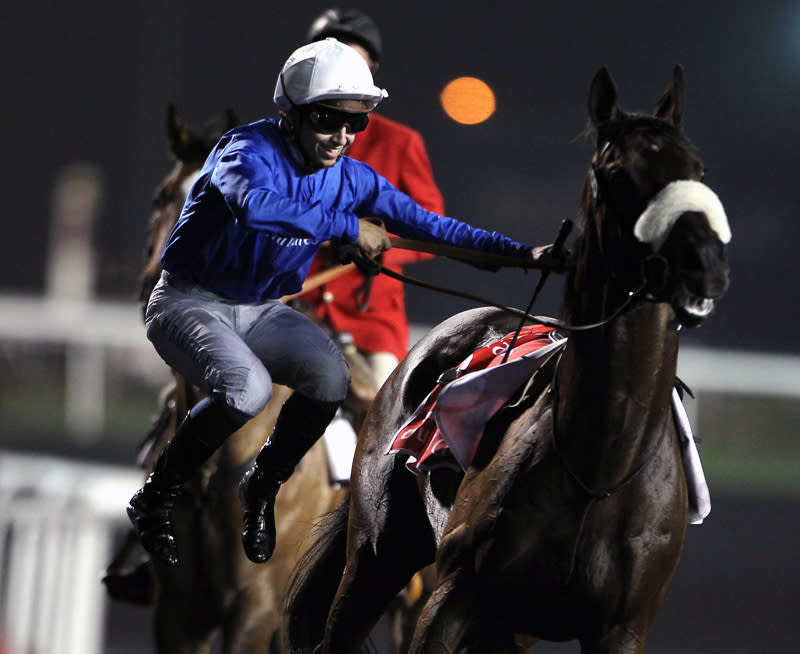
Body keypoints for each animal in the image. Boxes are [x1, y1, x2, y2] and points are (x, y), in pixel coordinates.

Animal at [286, 68, 732, 654]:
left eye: (695, 169)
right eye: (616, 172)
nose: (702, 265)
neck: (600, 468)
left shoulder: (619, 628)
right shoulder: (455, 593)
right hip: (375, 557)